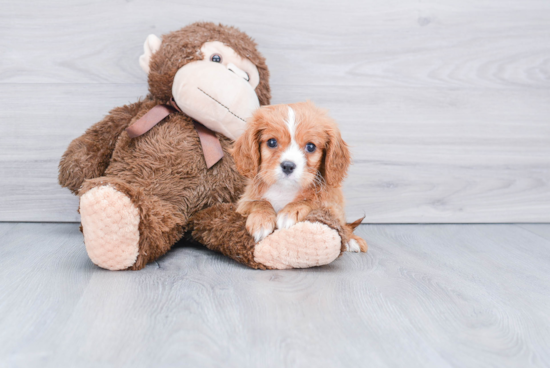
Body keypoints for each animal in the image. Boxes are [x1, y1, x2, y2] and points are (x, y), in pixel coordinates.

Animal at [232, 100, 366, 253]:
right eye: (272, 142)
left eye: (311, 146)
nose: (288, 166)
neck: (285, 189)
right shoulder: (243, 202)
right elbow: (259, 202)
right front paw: (261, 220)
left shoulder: (331, 205)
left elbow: (311, 201)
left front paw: (290, 211)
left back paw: (351, 240)